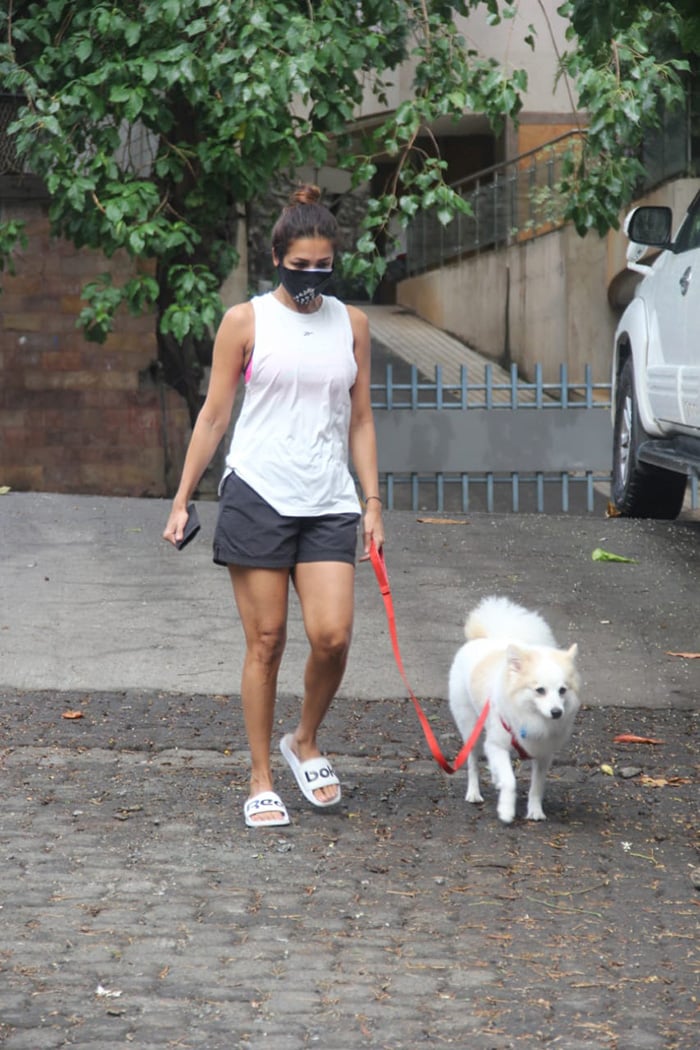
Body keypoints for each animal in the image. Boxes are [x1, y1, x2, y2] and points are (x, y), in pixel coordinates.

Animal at [449, 596, 579, 823]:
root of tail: (484, 639)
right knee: (473, 762)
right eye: (540, 690)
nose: (556, 712)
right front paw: (506, 810)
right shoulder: (497, 744)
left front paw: (535, 811)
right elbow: (510, 780)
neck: (532, 716)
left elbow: (537, 786)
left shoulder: (544, 754)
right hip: (471, 727)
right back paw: (473, 793)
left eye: (562, 690)